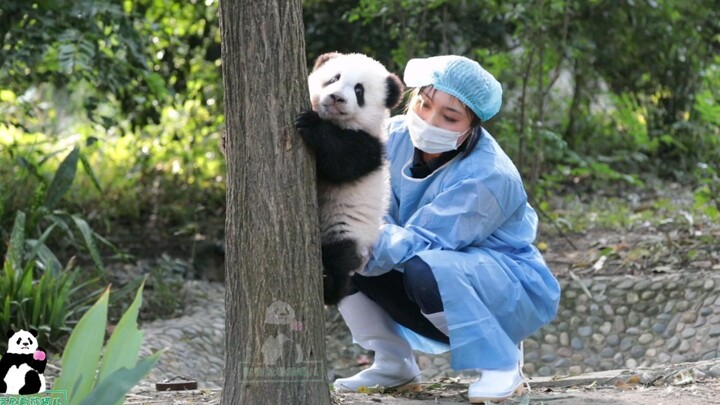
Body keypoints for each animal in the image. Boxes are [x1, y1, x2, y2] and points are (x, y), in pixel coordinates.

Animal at [295, 52, 404, 305]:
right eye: (334, 78)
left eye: (359, 91)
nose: (336, 98)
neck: (337, 122)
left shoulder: (369, 147)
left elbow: (340, 161)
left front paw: (310, 123)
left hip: (347, 226)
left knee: (340, 257)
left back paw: (330, 286)